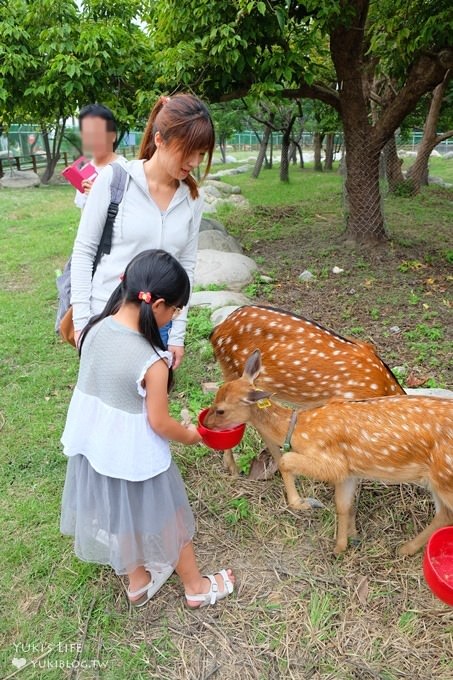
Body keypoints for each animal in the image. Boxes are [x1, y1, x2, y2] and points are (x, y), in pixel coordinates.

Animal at [204, 354, 452, 556]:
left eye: (221, 410)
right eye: (216, 395)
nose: (205, 422)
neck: (299, 429)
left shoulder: (332, 462)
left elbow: (285, 460)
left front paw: (302, 504)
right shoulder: (349, 470)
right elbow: (342, 504)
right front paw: (343, 545)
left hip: (444, 478)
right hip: (437, 481)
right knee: (443, 516)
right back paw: (404, 549)